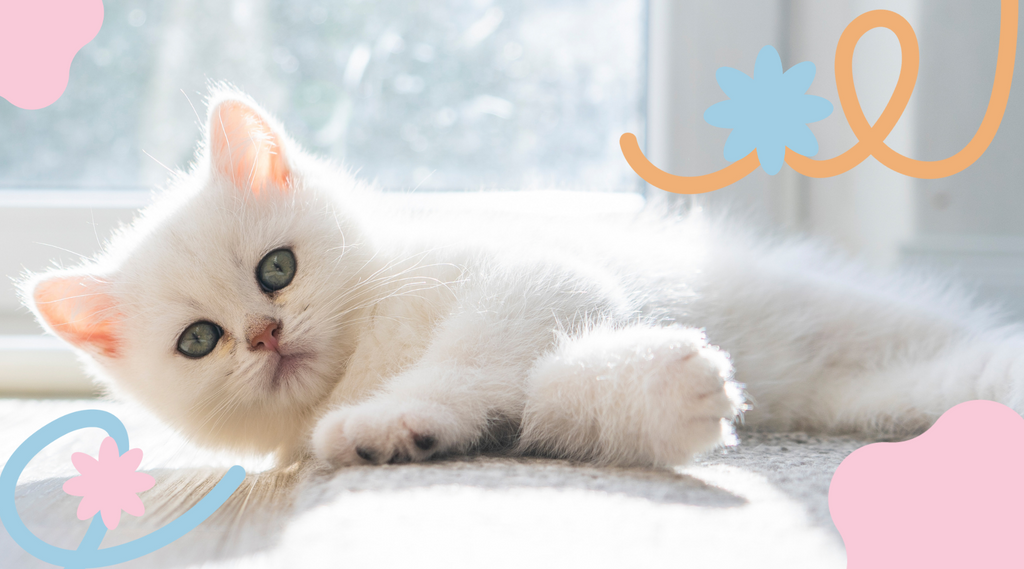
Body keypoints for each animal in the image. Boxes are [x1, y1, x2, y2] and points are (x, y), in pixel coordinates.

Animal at [22, 91, 1024, 468]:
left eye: (278, 268)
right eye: (199, 341)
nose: (264, 334)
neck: (365, 352)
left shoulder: (534, 272)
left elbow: (481, 352)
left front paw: (389, 417)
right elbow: (542, 399)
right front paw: (674, 390)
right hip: (882, 391)